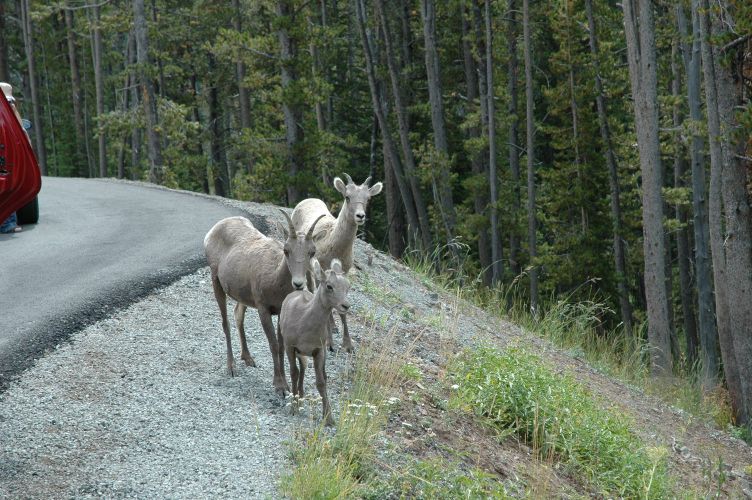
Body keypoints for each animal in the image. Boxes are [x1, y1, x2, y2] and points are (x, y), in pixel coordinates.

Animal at [203, 210, 325, 394]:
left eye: (312, 252)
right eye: (286, 250)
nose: (298, 284)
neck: (274, 278)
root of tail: (213, 230)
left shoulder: (280, 311)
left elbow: (281, 346)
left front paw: (286, 385)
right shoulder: (263, 310)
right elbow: (273, 344)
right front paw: (279, 386)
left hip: (242, 296)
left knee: (238, 315)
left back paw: (248, 359)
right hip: (216, 281)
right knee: (225, 323)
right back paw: (231, 368)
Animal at [278, 258, 351, 426]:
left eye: (348, 287)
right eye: (329, 286)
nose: (345, 306)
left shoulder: (318, 351)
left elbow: (321, 382)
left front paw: (329, 418)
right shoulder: (290, 347)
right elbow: (294, 373)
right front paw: (294, 409)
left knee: (307, 369)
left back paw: (301, 397)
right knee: (300, 369)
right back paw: (298, 399)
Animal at [291, 174, 382, 352]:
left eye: (368, 199)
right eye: (347, 197)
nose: (360, 216)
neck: (334, 246)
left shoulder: (343, 274)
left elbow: (342, 310)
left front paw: (348, 345)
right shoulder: (322, 273)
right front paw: (329, 343)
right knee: (310, 285)